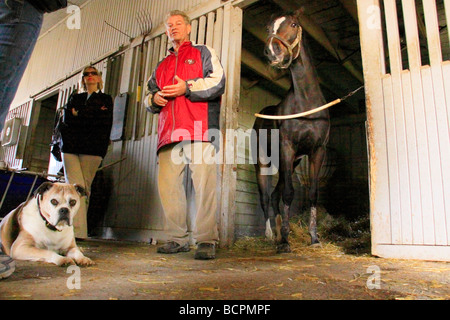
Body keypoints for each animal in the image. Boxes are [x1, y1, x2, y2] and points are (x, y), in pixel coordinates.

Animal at [253, 10, 330, 254]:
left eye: (294, 24)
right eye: (268, 28)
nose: (272, 51)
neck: (306, 101)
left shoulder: (317, 151)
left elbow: (312, 194)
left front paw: (314, 238)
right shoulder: (287, 147)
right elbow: (288, 194)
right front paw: (285, 242)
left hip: (289, 163)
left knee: (275, 195)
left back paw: (278, 233)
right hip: (263, 163)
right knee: (266, 196)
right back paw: (271, 236)